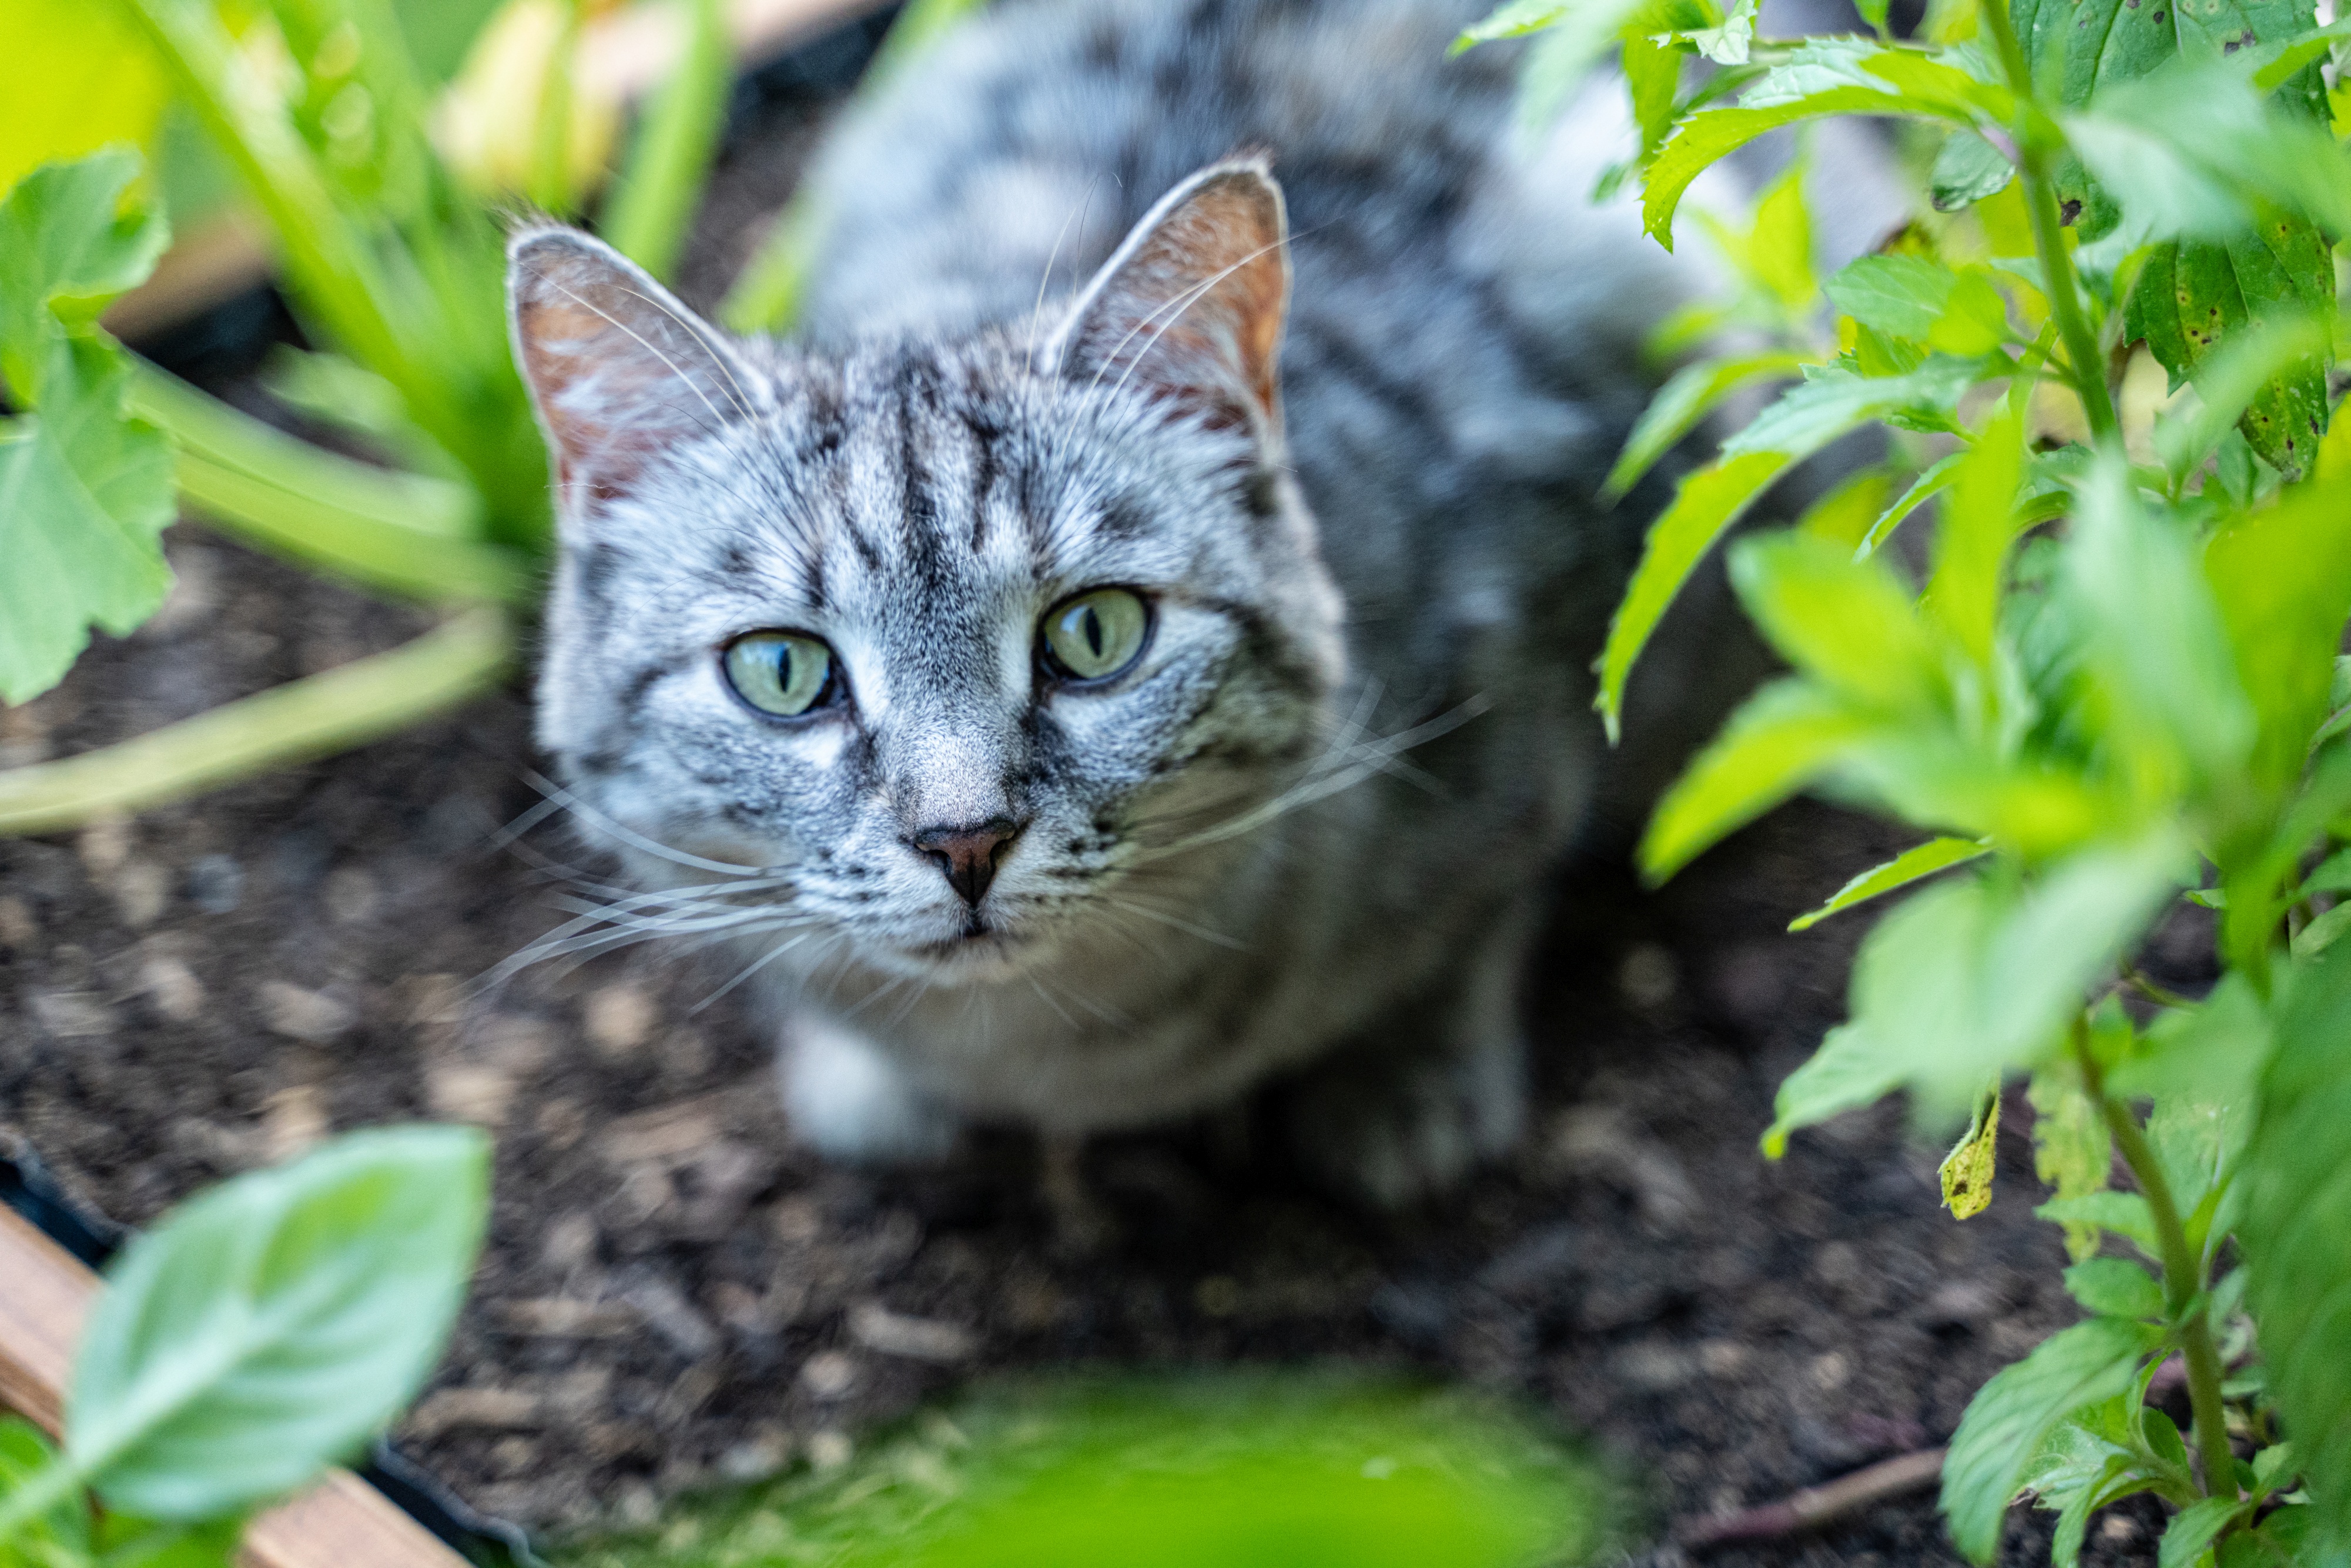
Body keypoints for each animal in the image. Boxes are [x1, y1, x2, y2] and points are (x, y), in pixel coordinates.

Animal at [510, 0, 1730, 1213]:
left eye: (1094, 634)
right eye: (783, 670)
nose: (964, 840)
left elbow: (1487, 904)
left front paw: (1409, 1076)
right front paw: (865, 1081)